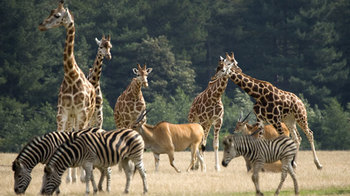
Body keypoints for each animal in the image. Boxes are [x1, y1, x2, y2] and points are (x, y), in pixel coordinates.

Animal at [38, 1, 95, 182]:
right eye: (50, 11)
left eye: (57, 15)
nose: (41, 25)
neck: (71, 76)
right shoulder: (62, 111)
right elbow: (61, 136)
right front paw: (65, 177)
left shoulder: (81, 112)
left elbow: (78, 138)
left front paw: (79, 176)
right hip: (71, 116)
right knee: (70, 133)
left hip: (86, 115)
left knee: (80, 134)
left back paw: (80, 175)